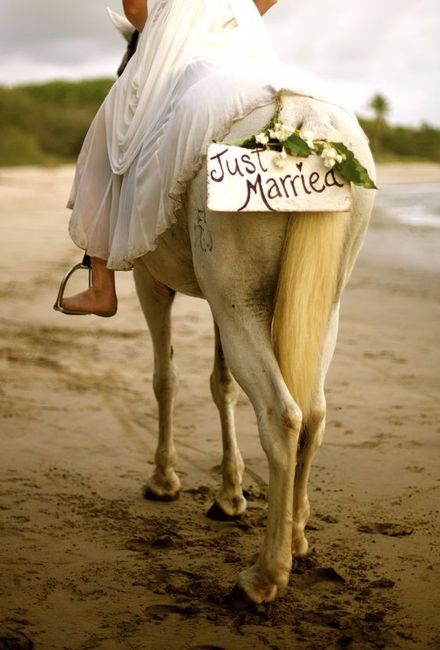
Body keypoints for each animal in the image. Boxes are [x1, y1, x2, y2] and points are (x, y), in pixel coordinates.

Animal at [108, 10, 376, 604]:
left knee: (282, 415)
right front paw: (230, 494)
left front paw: (165, 480)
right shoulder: (218, 301)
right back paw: (296, 537)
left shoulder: (150, 283)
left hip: (236, 306)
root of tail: (301, 119)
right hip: (309, 307)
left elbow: (166, 378)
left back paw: (265, 575)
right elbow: (222, 384)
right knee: (314, 412)